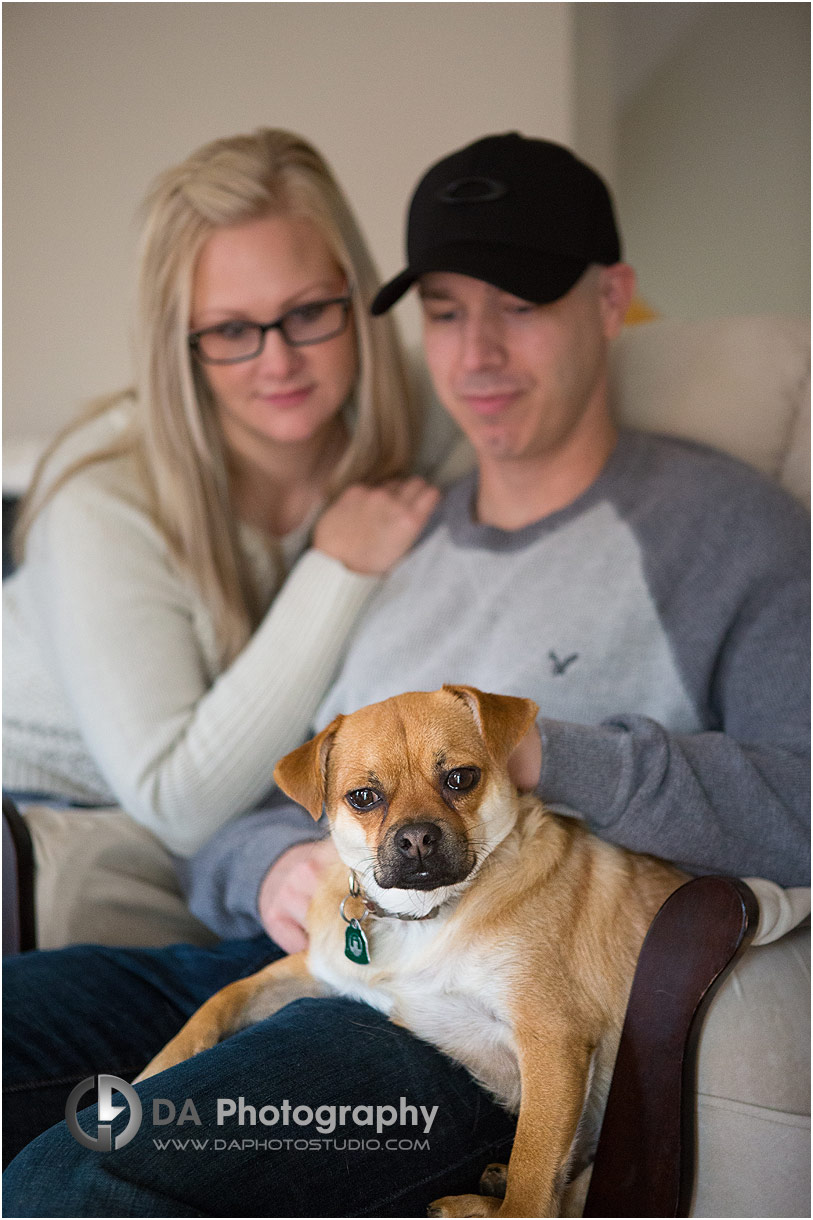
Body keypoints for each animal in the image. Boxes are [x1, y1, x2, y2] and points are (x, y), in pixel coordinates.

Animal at [139, 692, 683, 1215]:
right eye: (363, 797)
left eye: (461, 778)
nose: (418, 836)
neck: (422, 917)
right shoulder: (316, 970)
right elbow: (223, 998)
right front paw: (156, 1069)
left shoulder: (552, 1038)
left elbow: (531, 1186)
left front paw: (513, 1194)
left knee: (565, 1198)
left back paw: (476, 1204)